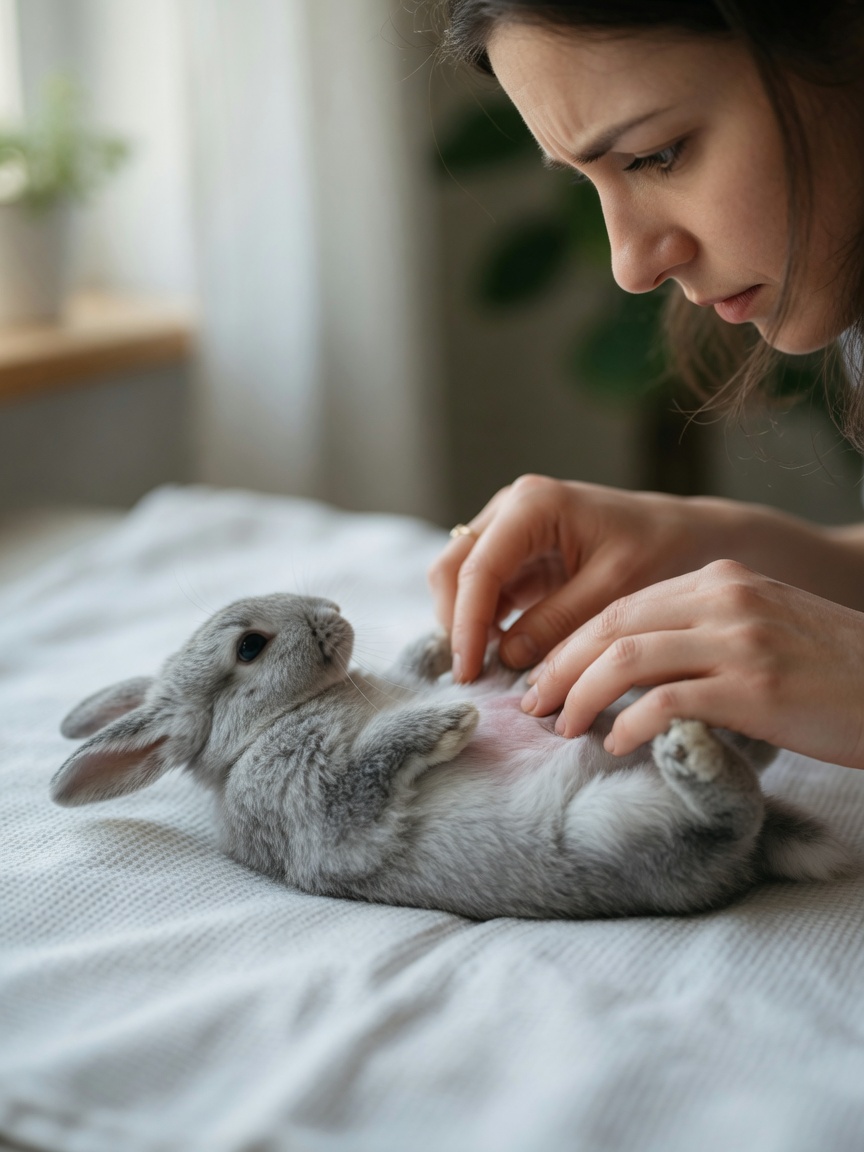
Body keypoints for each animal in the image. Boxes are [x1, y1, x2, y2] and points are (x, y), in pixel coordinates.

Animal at [51, 593, 850, 920]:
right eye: (250, 647)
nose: (333, 612)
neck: (277, 719)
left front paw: (437, 646)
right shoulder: (317, 810)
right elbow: (365, 780)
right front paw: (446, 721)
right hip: (613, 826)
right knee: (732, 816)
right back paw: (695, 754)